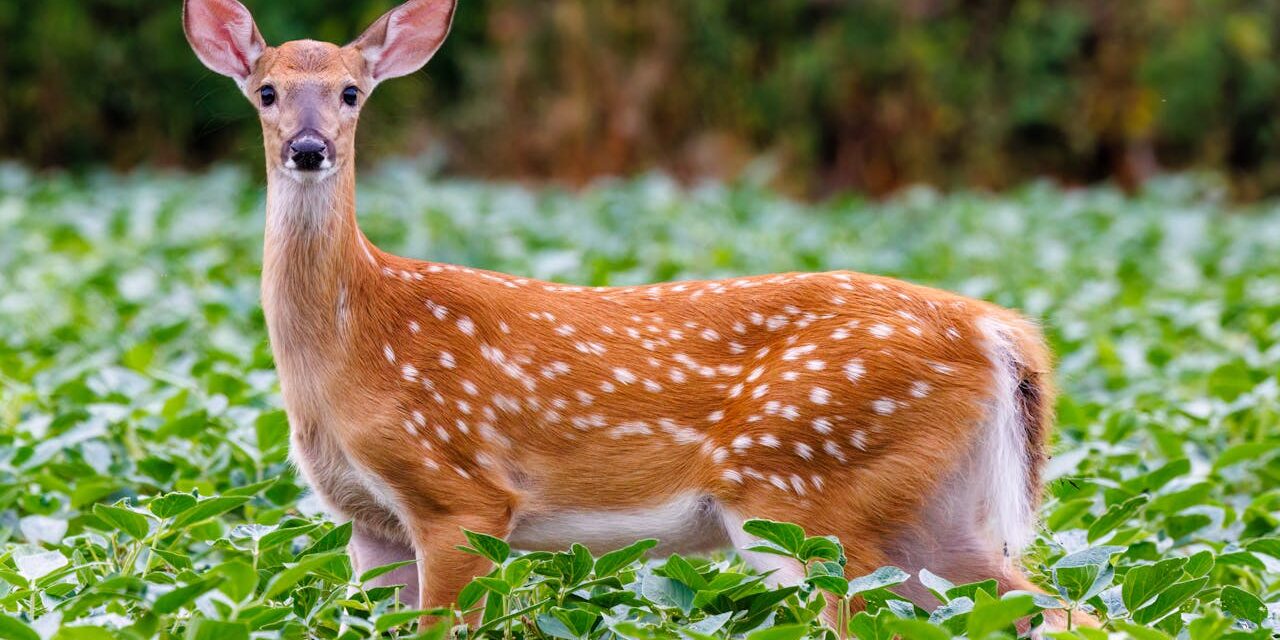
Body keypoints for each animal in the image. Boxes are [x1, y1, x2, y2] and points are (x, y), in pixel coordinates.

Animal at [183, 0, 1073, 631]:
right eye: (266, 91)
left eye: (351, 92)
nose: (307, 148)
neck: (352, 350)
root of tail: (1004, 335)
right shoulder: (368, 524)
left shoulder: (458, 494)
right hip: (930, 513)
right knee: (1050, 611)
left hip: (812, 490)